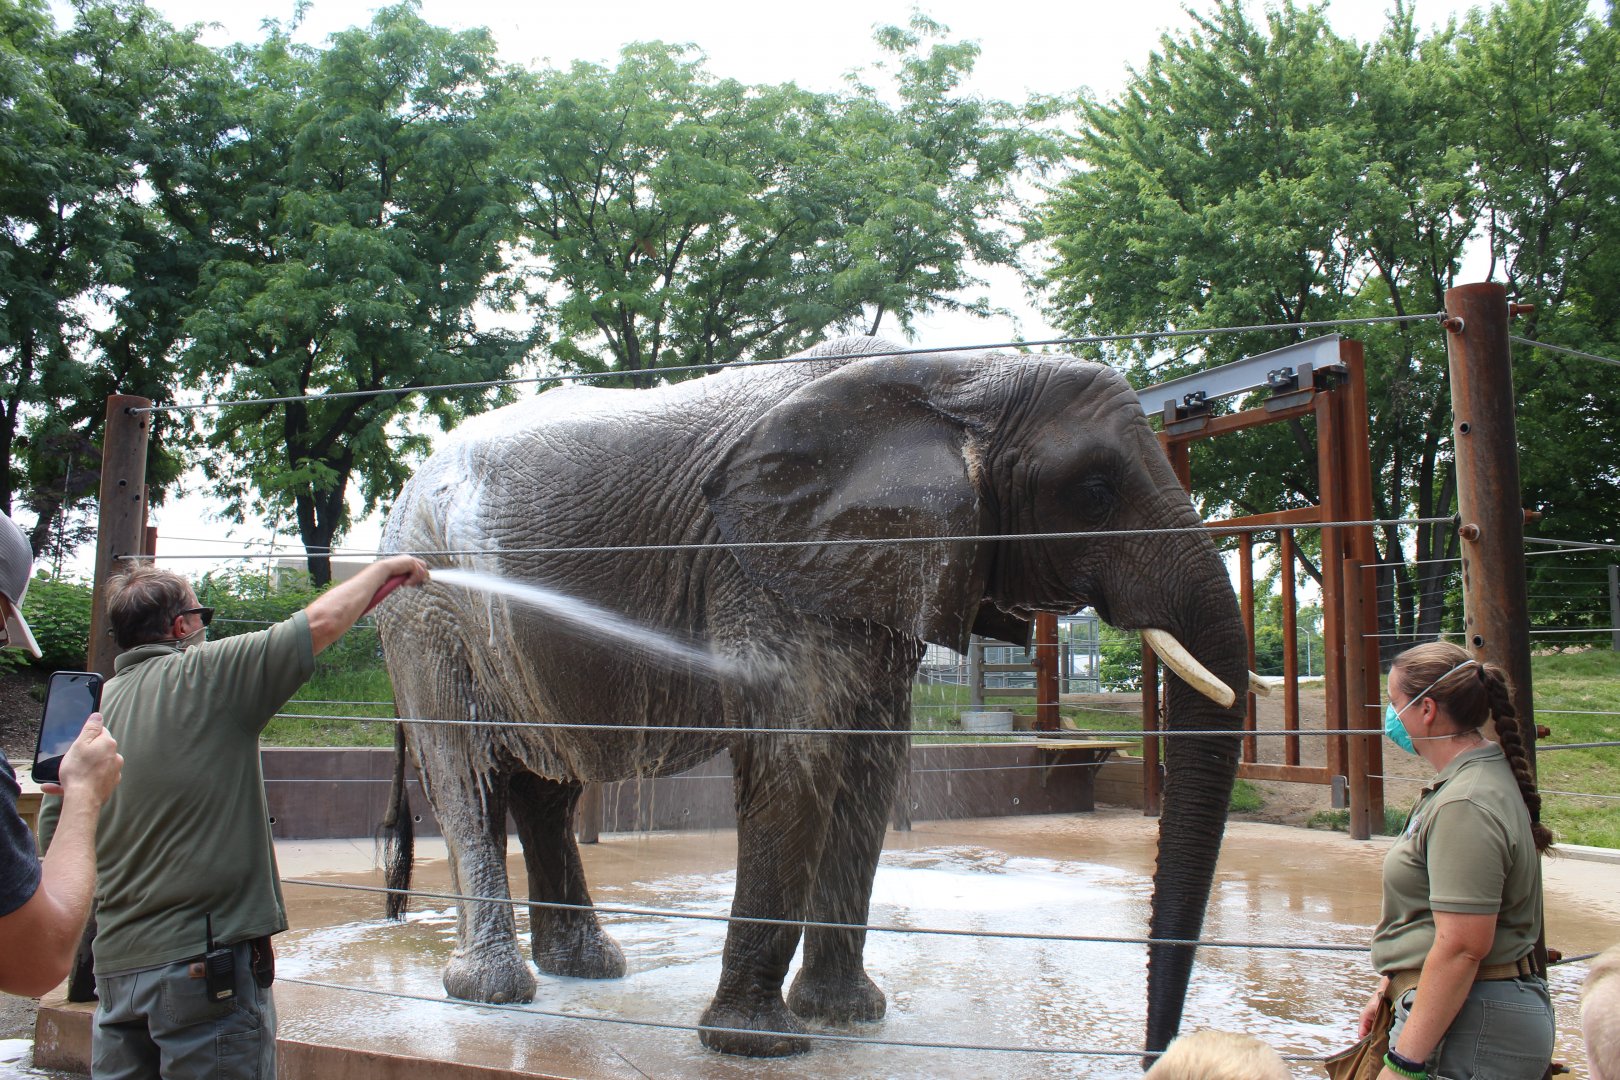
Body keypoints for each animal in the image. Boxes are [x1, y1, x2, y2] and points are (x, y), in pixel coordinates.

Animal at [374, 336, 1251, 1060]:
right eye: (1095, 491)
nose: (1155, 1056)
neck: (959, 378)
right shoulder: (760, 569)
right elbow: (798, 754)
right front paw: (759, 1046)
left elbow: (870, 767)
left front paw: (846, 1018)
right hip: (426, 610)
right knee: (467, 771)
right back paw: (494, 992)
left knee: (545, 777)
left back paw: (588, 969)